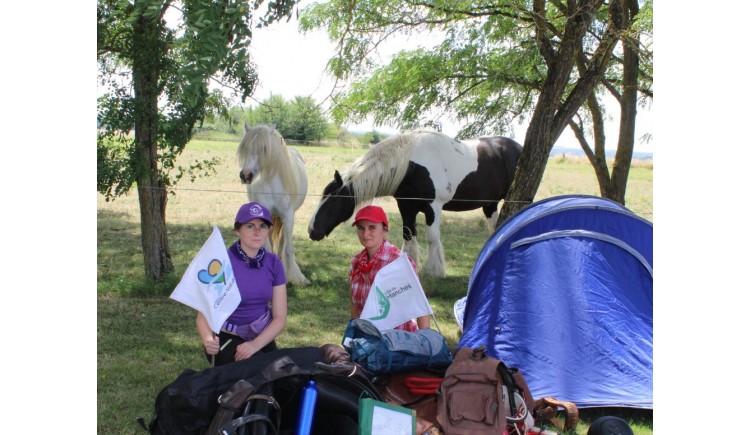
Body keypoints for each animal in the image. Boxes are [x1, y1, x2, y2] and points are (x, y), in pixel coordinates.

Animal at [241, 122, 312, 286]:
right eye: (245, 147)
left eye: (264, 148)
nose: (246, 175)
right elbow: (266, 247)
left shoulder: (288, 216)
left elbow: (288, 248)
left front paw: (297, 278)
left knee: (283, 242)